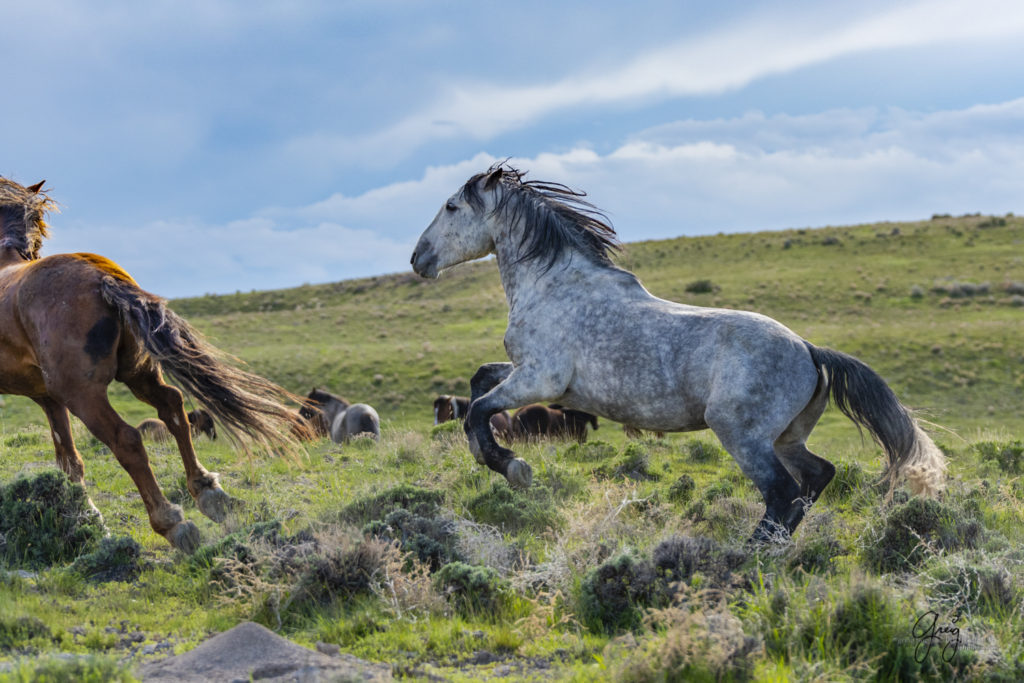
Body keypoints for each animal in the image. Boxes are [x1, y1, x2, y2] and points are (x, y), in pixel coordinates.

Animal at [0, 178, 303, 557]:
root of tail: (101, 277)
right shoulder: (48, 399)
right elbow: (69, 462)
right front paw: (88, 519)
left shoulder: (57, 397)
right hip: (137, 375)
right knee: (173, 407)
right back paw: (210, 492)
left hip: (84, 394)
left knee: (127, 439)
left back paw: (172, 523)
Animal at [411, 162, 946, 540]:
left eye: (452, 207)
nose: (418, 258)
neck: (555, 286)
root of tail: (810, 351)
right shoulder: (537, 380)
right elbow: (480, 382)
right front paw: (497, 458)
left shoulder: (540, 378)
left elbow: (479, 408)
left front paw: (514, 468)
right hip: (785, 437)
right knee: (816, 477)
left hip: (742, 435)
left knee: (782, 493)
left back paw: (748, 555)